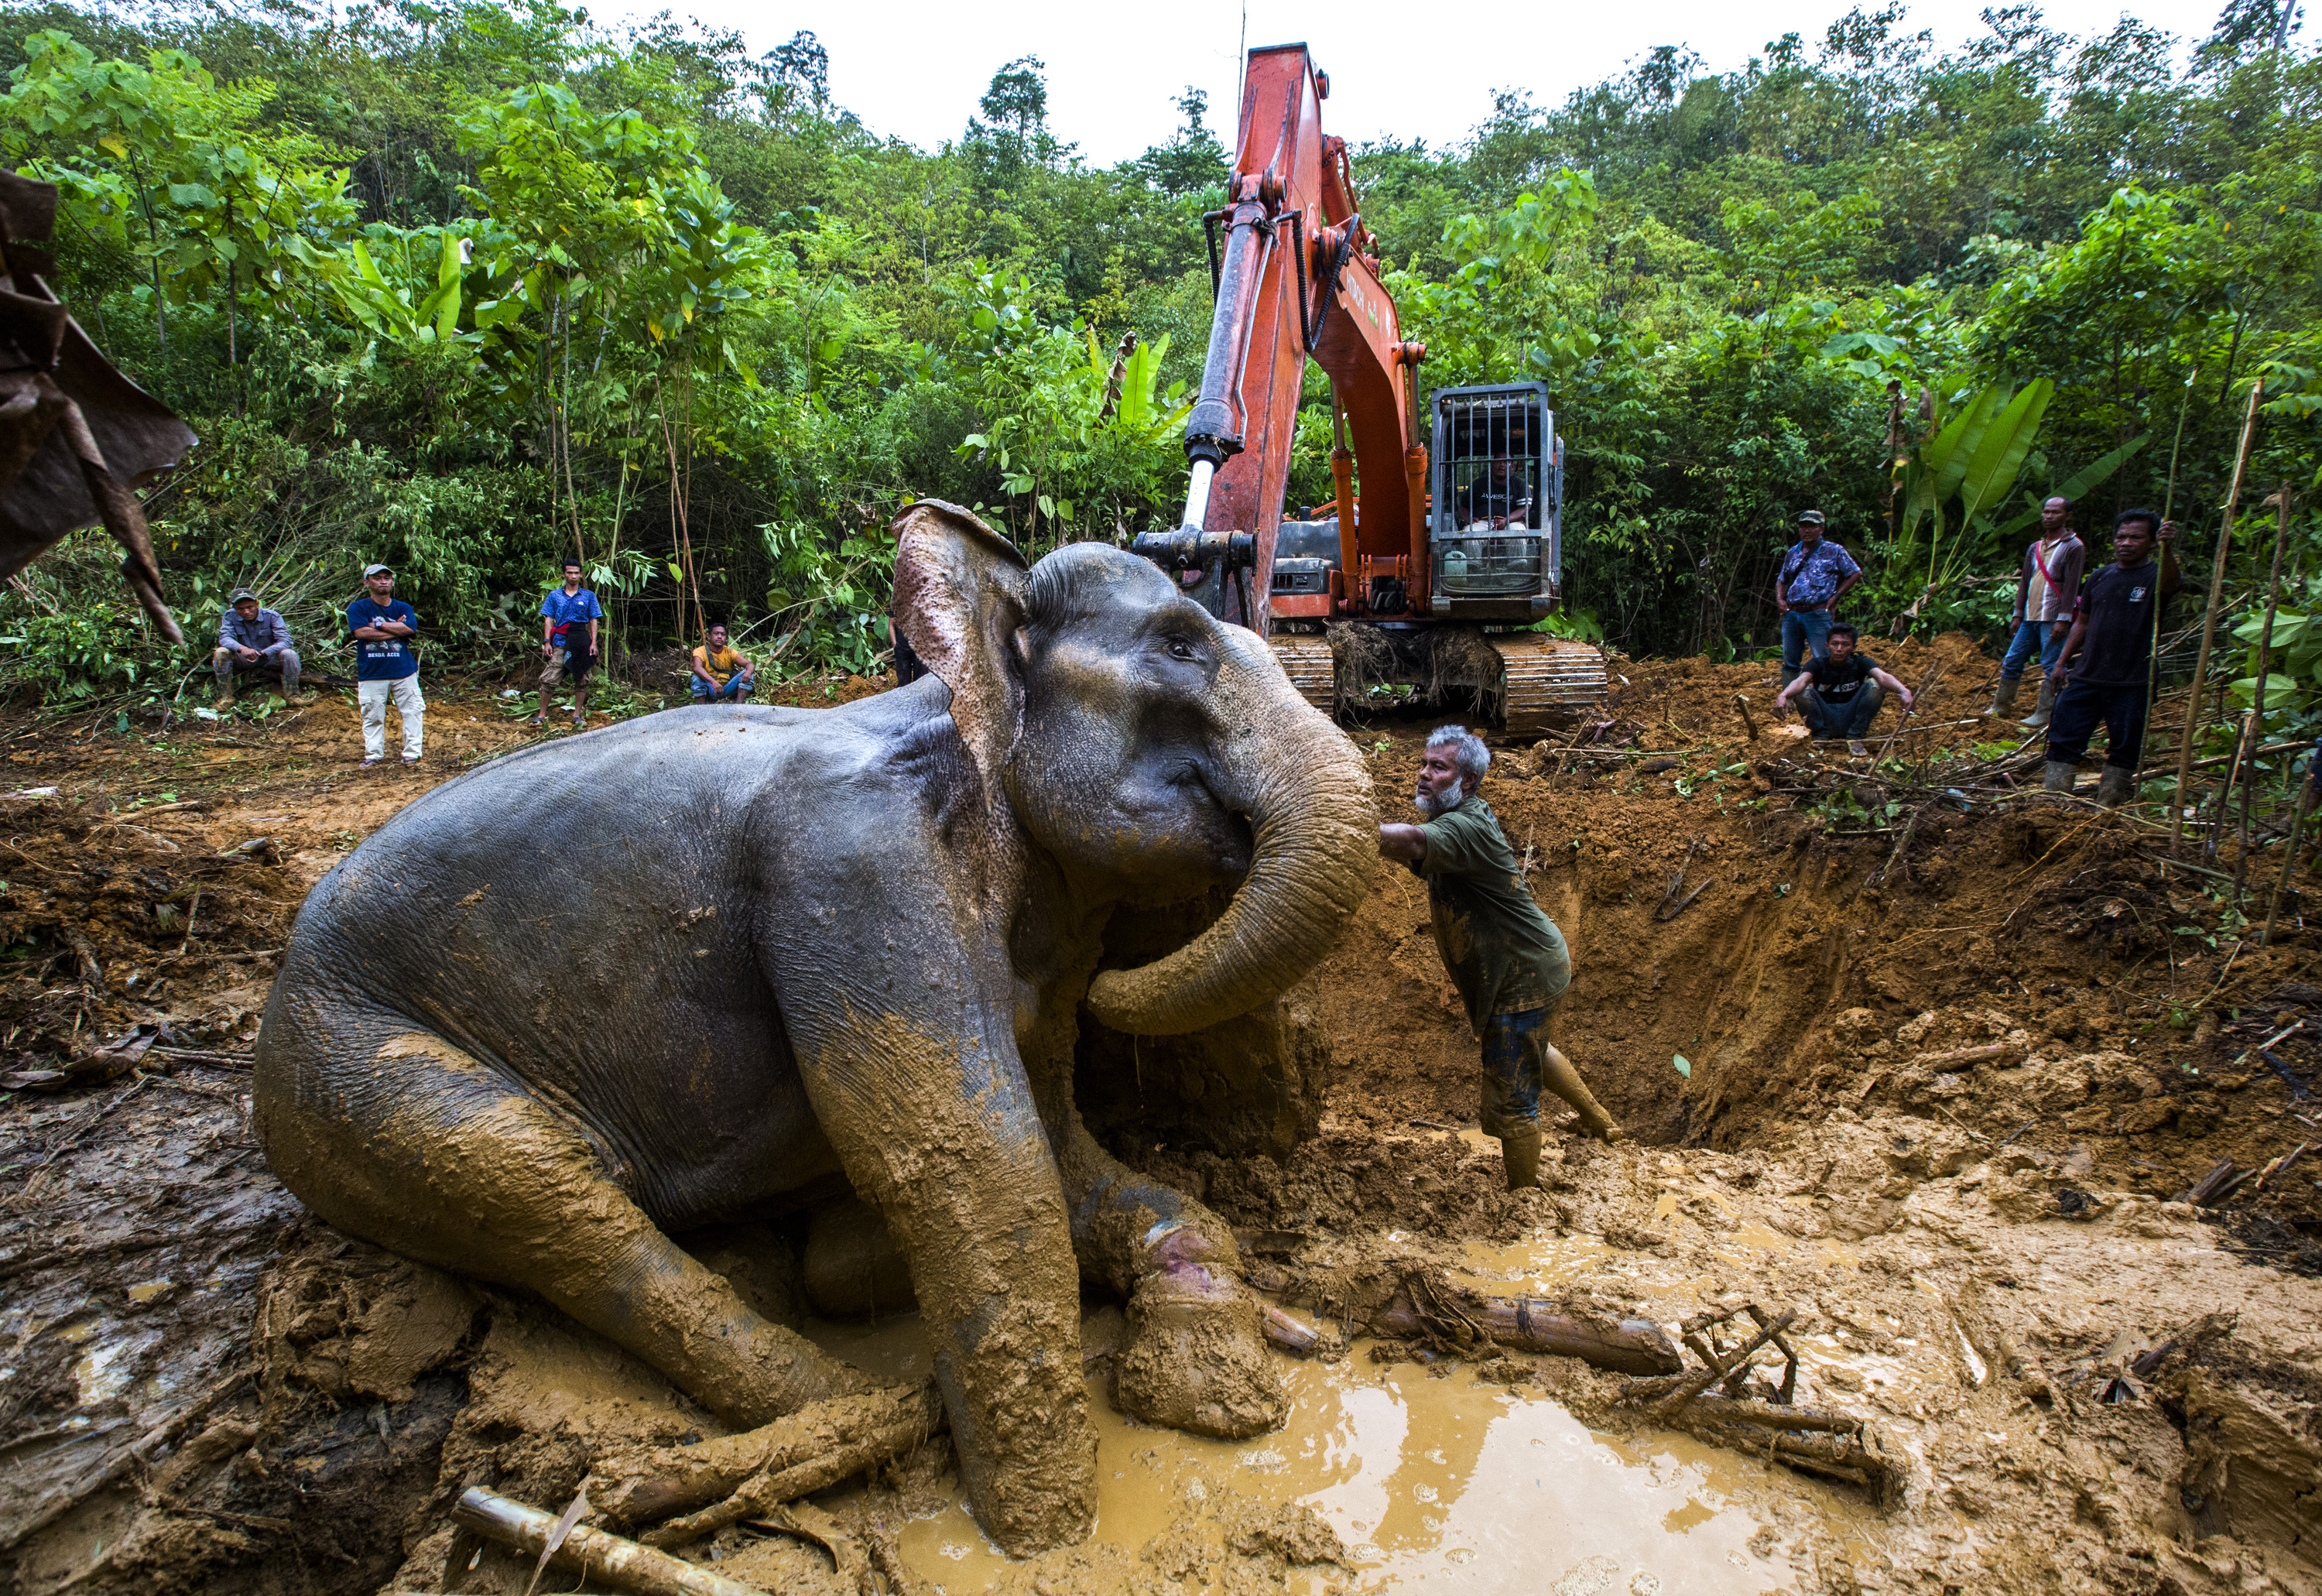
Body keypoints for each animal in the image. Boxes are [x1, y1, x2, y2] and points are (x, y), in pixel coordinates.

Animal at [254, 499, 1375, 1551]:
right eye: (1182, 642)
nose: (1124, 987)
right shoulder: (850, 867)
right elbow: (975, 1157)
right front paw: (1044, 1534)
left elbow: (1058, 1140)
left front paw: (1213, 1383)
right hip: (344, 1070)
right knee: (537, 1194)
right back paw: (861, 1411)